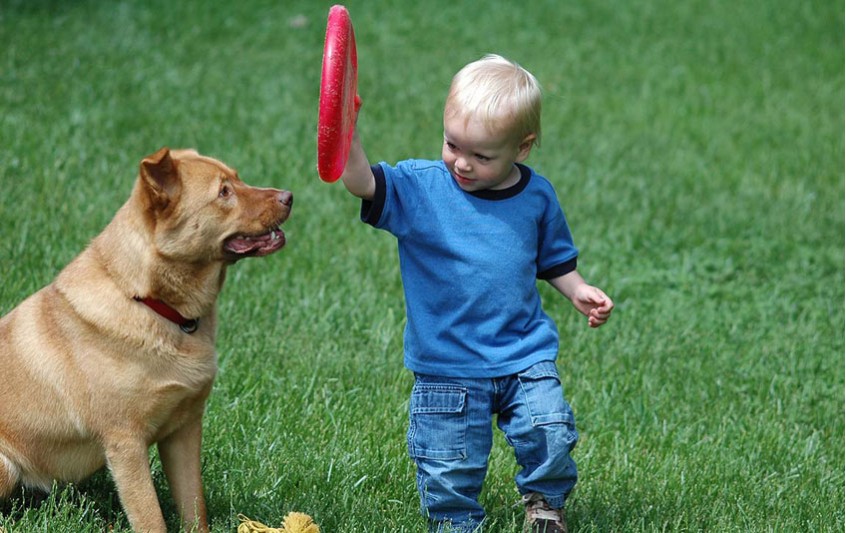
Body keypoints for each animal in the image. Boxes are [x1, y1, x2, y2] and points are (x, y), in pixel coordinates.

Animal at [0, 148, 294, 528]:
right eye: (223, 192)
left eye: (238, 178)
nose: (289, 196)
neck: (156, 305)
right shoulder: (126, 443)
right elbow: (151, 517)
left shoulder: (183, 430)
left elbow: (194, 508)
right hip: (5, 466)